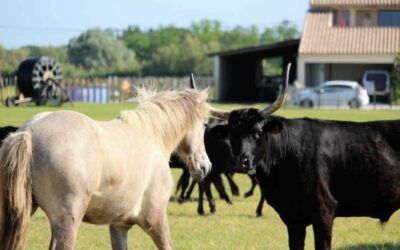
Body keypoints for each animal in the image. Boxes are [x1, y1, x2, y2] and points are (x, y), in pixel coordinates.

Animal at [0, 88, 212, 250]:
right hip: (68, 222)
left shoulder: (119, 226)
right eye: (204, 125)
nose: (205, 166)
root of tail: (28, 132)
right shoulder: (156, 218)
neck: (151, 136)